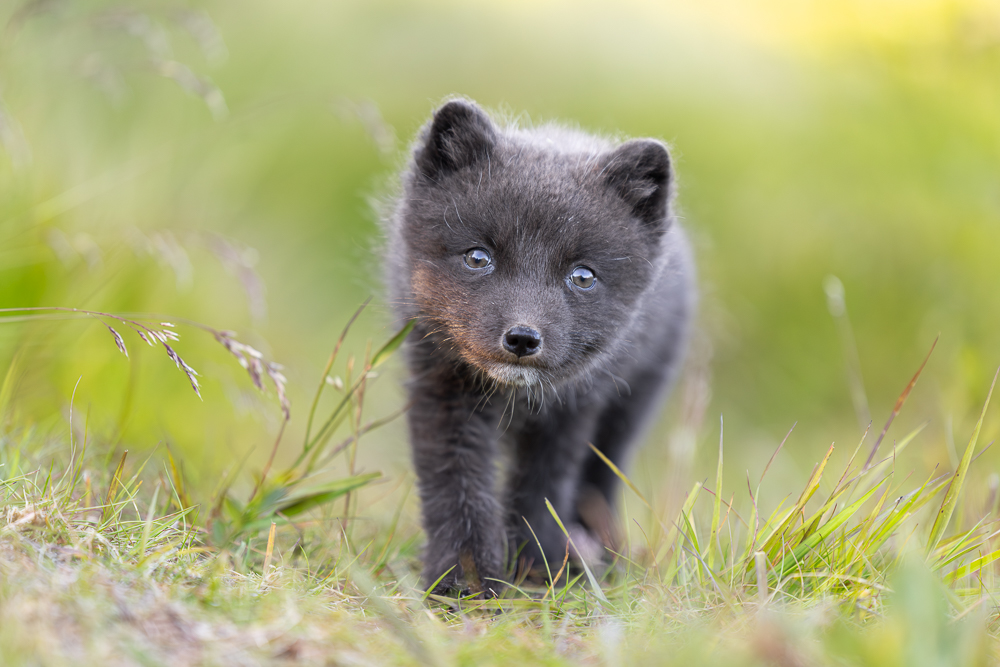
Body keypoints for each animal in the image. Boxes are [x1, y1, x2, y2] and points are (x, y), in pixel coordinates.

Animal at [385, 99, 695, 596]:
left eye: (583, 276)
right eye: (478, 257)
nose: (522, 337)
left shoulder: (574, 406)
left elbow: (542, 489)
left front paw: (539, 571)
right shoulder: (440, 385)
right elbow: (455, 485)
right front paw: (465, 581)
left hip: (634, 405)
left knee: (600, 481)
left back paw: (605, 556)